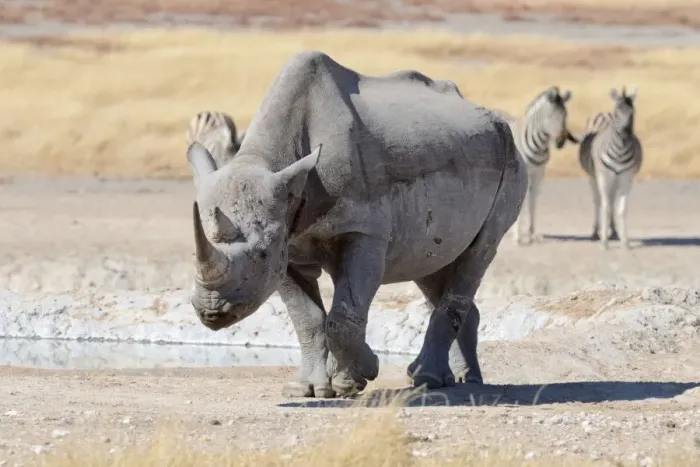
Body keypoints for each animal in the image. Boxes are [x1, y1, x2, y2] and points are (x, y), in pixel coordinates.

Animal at [186, 51, 528, 398]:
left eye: (262, 254)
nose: (211, 311)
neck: (270, 160)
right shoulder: (287, 242)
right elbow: (307, 318)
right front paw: (306, 389)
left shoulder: (363, 229)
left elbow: (342, 315)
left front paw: (357, 377)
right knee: (433, 262)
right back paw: (458, 379)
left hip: (510, 156)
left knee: (478, 253)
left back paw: (428, 379)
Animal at [502, 86, 579, 245]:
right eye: (550, 117)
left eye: (565, 116)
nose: (561, 142)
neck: (539, 145)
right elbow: (523, 200)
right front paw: (518, 236)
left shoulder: (539, 172)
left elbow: (533, 201)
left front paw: (532, 234)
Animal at [578, 86, 642, 249]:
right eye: (617, 112)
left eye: (633, 112)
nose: (627, 135)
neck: (620, 151)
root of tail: (604, 114)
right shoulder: (603, 176)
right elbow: (605, 206)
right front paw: (604, 242)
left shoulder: (626, 177)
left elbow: (621, 208)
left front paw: (624, 241)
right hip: (594, 177)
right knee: (598, 201)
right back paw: (596, 232)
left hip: (615, 179)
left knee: (612, 199)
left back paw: (613, 231)